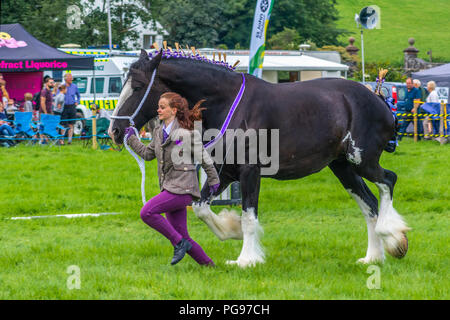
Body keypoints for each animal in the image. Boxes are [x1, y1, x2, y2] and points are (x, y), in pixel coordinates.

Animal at [108, 50, 408, 268]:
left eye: (138, 86)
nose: (115, 130)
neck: (229, 103)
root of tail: (379, 99)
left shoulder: (249, 172)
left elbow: (249, 215)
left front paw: (247, 259)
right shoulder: (224, 173)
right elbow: (201, 208)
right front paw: (231, 231)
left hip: (362, 160)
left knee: (388, 181)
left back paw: (393, 235)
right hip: (343, 166)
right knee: (369, 205)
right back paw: (374, 256)